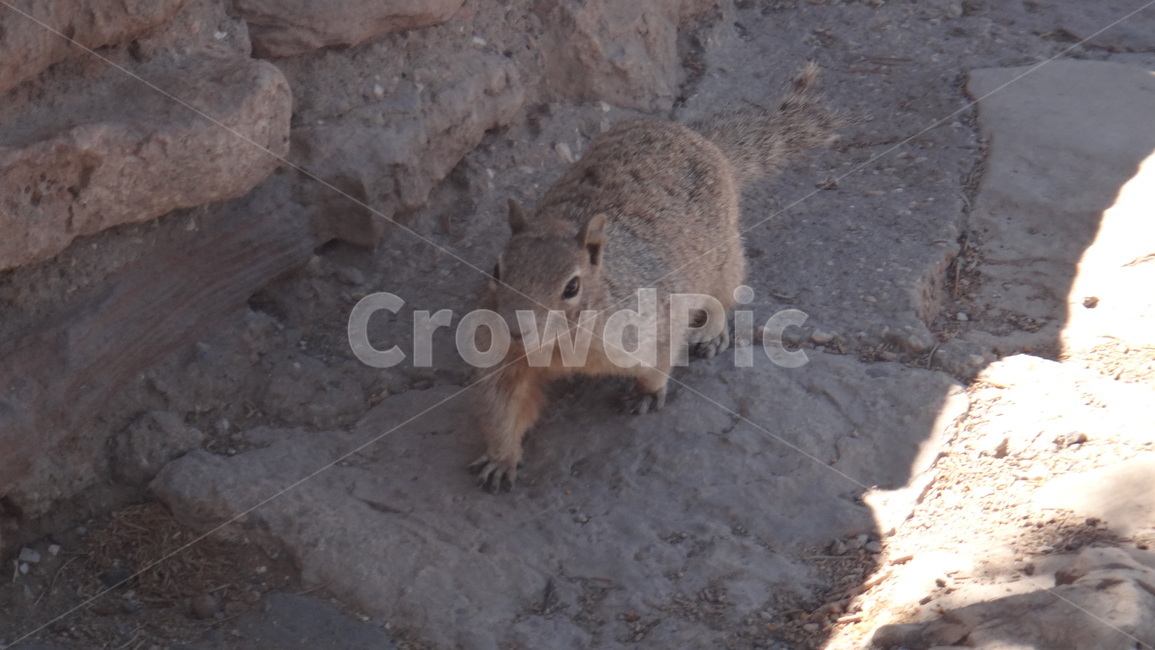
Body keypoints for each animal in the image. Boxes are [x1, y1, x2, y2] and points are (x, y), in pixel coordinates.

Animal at [469, 64, 843, 491]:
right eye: (497, 270)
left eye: (572, 286)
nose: (515, 329)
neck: (563, 347)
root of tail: (698, 137)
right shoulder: (502, 360)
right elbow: (502, 407)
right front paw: (501, 459)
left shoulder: (652, 320)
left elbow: (660, 359)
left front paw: (647, 393)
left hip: (724, 257)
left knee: (724, 297)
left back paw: (711, 331)